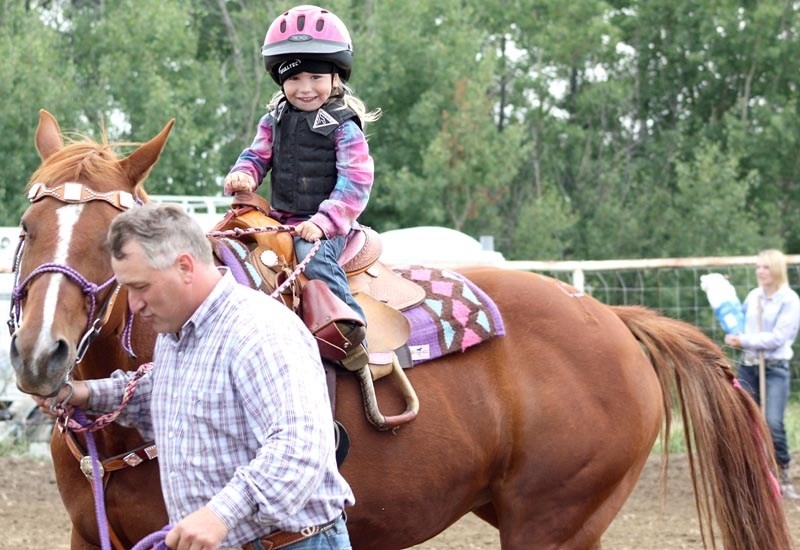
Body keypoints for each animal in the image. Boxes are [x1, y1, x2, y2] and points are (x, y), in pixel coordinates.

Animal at [10, 110, 792, 548]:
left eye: (111, 236)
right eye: (27, 226)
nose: (41, 354)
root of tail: (617, 322)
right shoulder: (91, 536)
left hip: (552, 524)